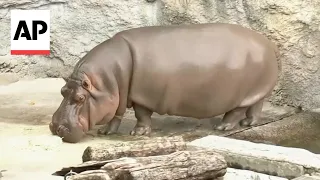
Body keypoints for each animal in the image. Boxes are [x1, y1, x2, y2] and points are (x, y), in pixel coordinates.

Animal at [48, 22, 280, 143]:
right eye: (62, 91)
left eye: (80, 98)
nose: (57, 127)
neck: (107, 81)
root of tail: (267, 43)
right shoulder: (118, 95)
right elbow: (116, 114)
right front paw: (105, 132)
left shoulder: (140, 95)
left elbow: (141, 114)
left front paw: (138, 133)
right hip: (258, 92)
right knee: (256, 106)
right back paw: (249, 124)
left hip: (243, 94)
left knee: (236, 111)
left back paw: (223, 127)